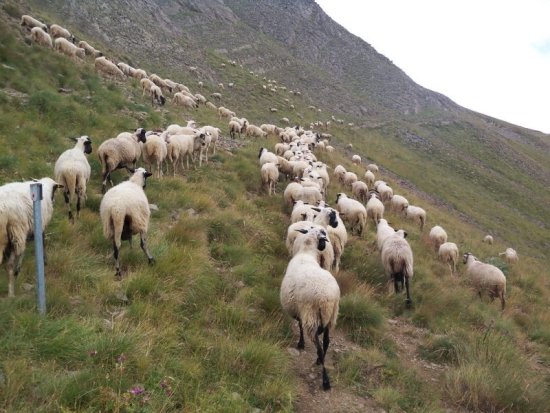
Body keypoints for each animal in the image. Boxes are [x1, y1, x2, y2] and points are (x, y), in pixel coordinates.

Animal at [280, 225, 340, 390]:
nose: (324, 246)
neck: (306, 253)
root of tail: (326, 298)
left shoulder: (300, 309)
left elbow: (299, 325)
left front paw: (300, 344)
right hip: (331, 316)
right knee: (326, 341)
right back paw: (320, 360)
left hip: (311, 315)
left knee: (318, 345)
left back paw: (325, 381)